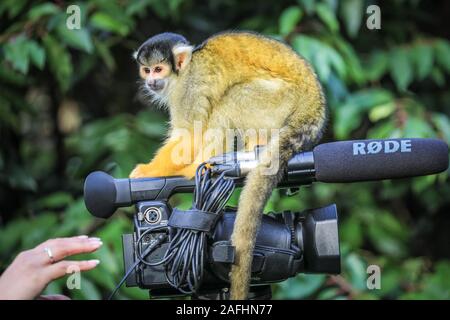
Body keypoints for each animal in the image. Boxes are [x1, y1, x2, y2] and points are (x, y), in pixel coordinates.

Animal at [131, 31, 326, 300]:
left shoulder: (189, 90)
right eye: (146, 70)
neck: (183, 71)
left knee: (231, 99)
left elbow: (189, 136)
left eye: (159, 69)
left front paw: (147, 171)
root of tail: (313, 102)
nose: (151, 81)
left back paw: (198, 167)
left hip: (280, 100)